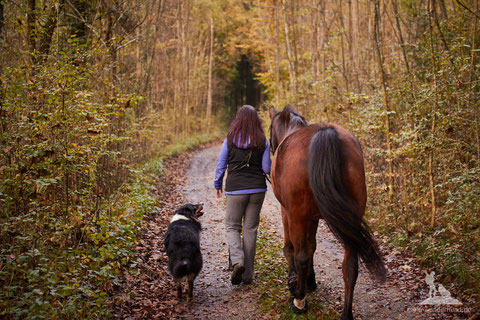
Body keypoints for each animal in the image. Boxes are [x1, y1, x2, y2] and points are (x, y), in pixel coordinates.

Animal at [270, 105, 386, 320]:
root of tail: (326, 134)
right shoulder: (313, 218)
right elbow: (312, 246)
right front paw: (311, 281)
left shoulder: (288, 212)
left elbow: (293, 248)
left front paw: (294, 281)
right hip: (350, 222)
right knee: (350, 266)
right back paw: (346, 314)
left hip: (298, 217)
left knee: (301, 255)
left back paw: (299, 301)